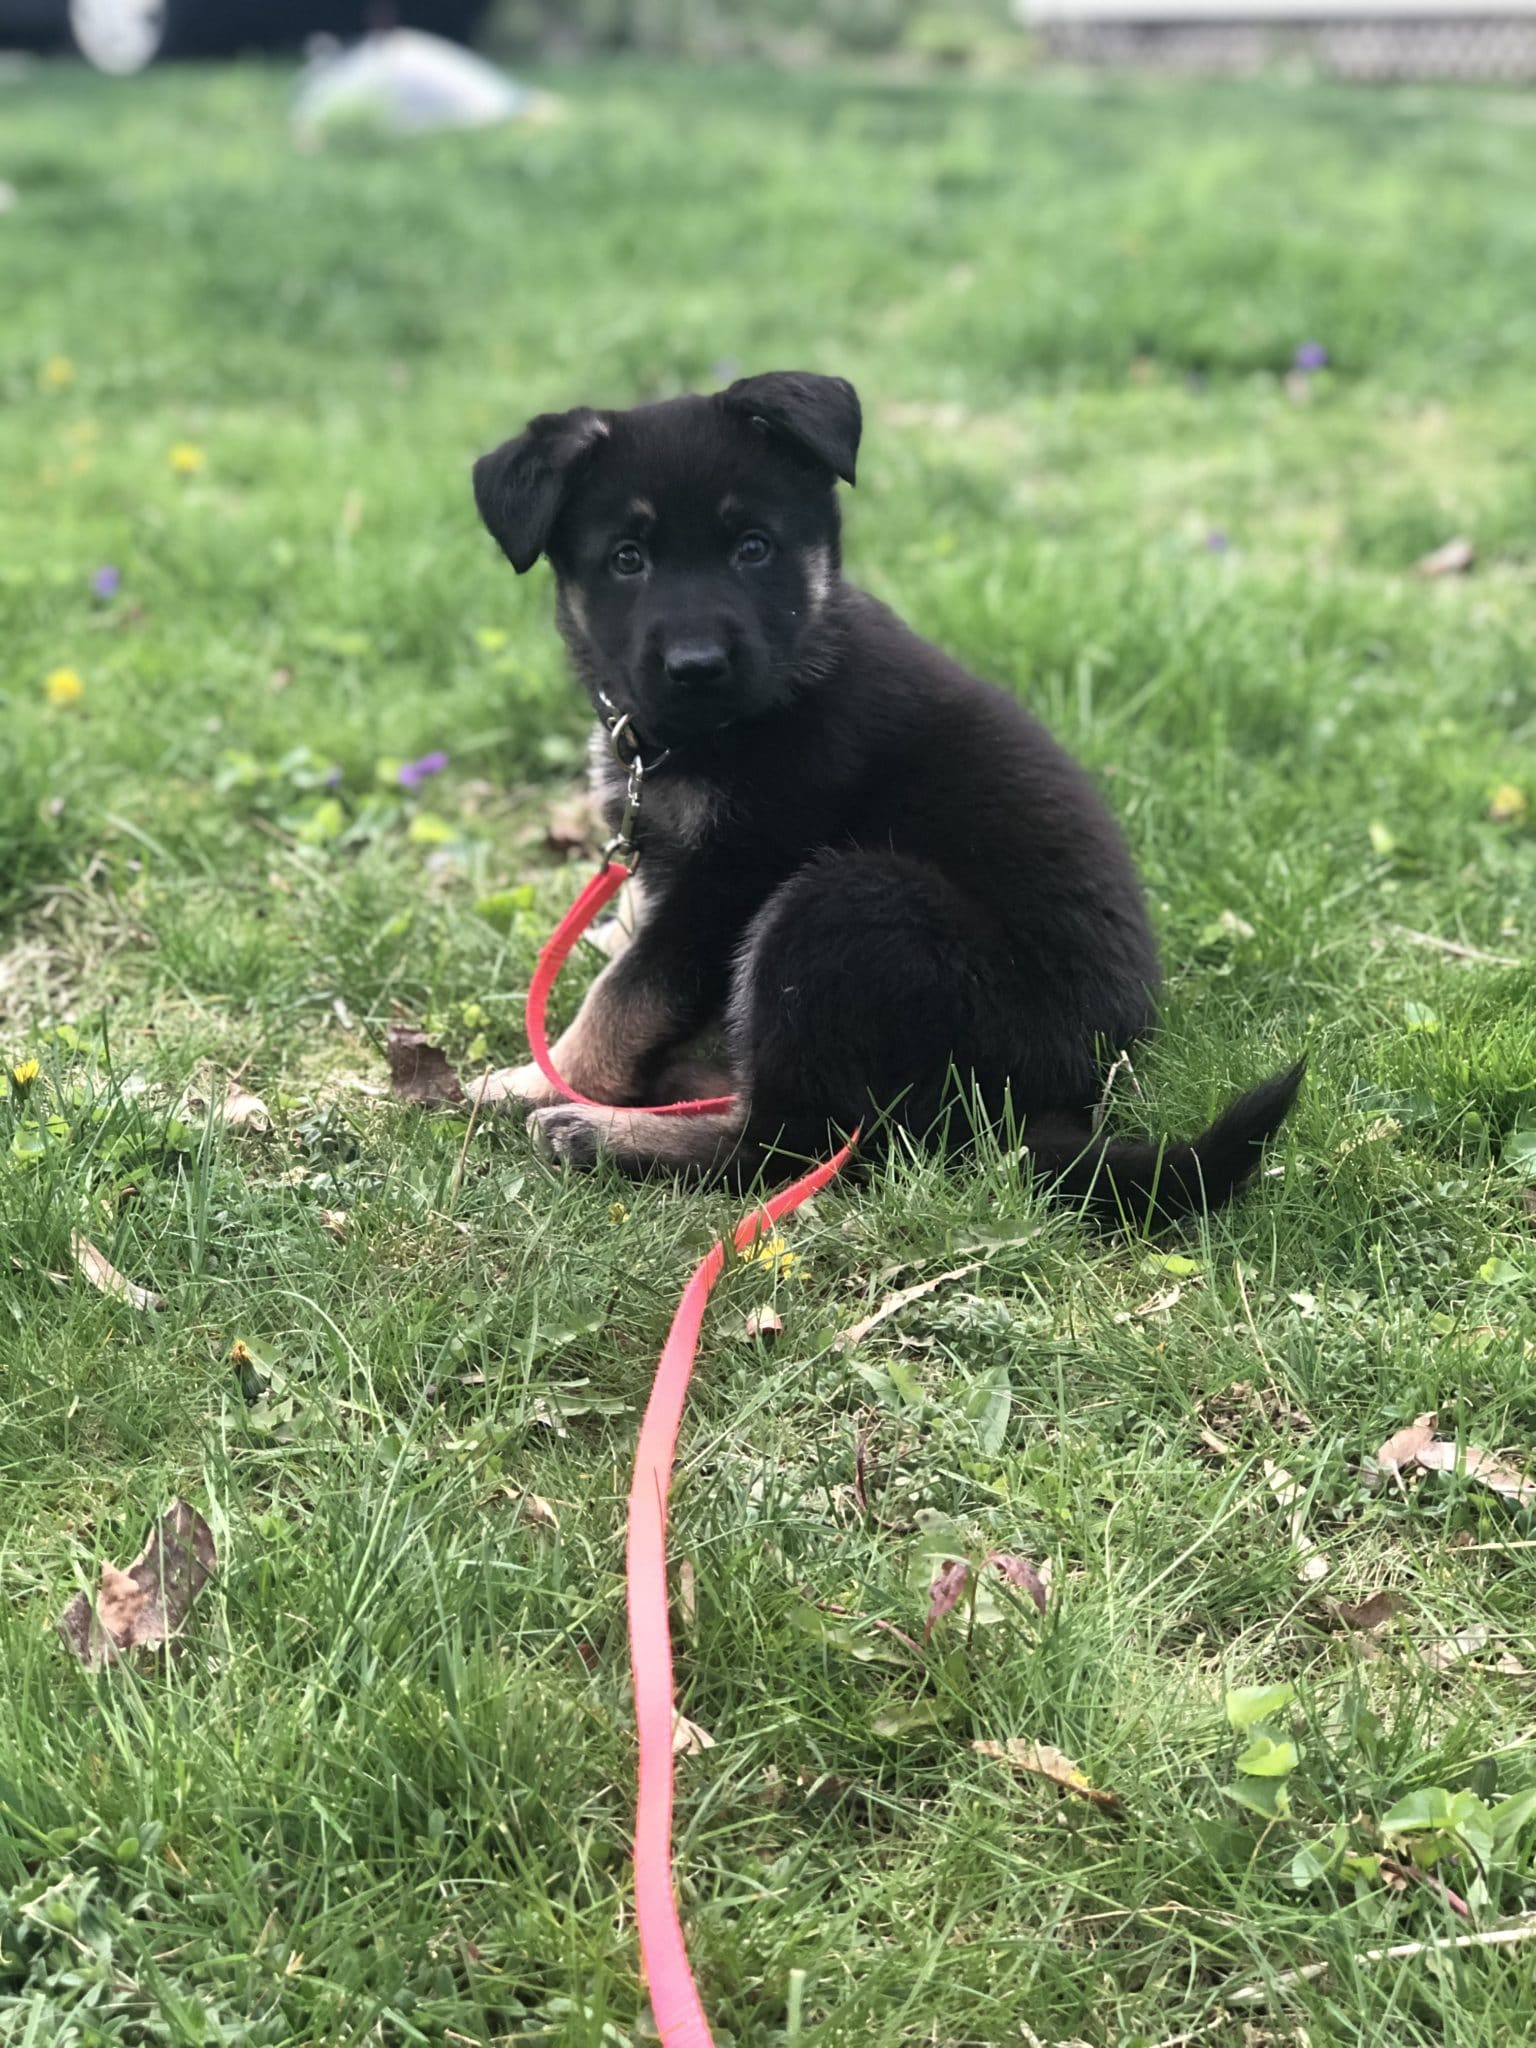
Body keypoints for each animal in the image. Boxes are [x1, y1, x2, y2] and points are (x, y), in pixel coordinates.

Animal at [475, 368, 1302, 1212]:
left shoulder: (732, 878)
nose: (698, 666)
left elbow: (629, 990)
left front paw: (537, 1078)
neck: (712, 730)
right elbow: (631, 942)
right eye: (627, 559)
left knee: (792, 1143)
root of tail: (1044, 1112)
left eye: (753, 548)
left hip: (845, 903)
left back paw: (607, 1129)